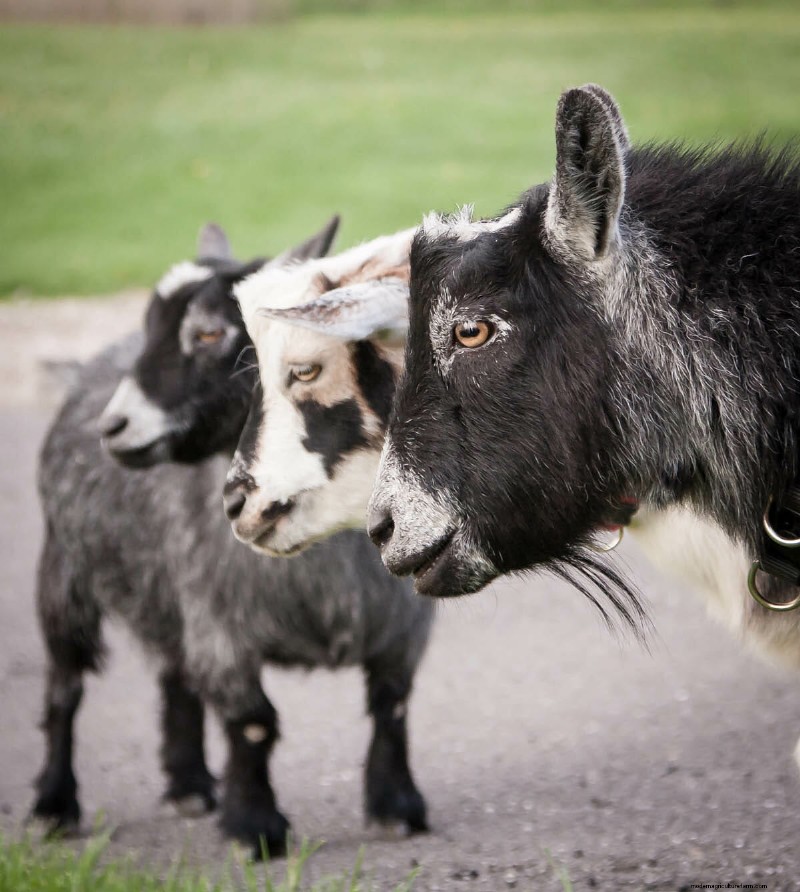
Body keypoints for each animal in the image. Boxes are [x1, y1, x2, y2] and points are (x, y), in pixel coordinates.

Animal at [32, 221, 432, 858]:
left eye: (210, 332)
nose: (113, 427)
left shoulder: (403, 623)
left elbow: (391, 703)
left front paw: (396, 807)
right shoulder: (222, 626)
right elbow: (252, 721)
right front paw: (255, 829)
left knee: (175, 677)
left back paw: (189, 785)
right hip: (64, 576)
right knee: (64, 688)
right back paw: (53, 805)